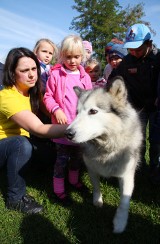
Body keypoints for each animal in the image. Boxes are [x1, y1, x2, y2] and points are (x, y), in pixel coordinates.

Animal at [65, 77, 142, 234]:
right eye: (76, 112)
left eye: (93, 111)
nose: (67, 133)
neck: (106, 148)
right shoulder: (91, 167)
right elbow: (96, 186)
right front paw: (97, 201)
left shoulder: (127, 174)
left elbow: (124, 201)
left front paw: (119, 223)